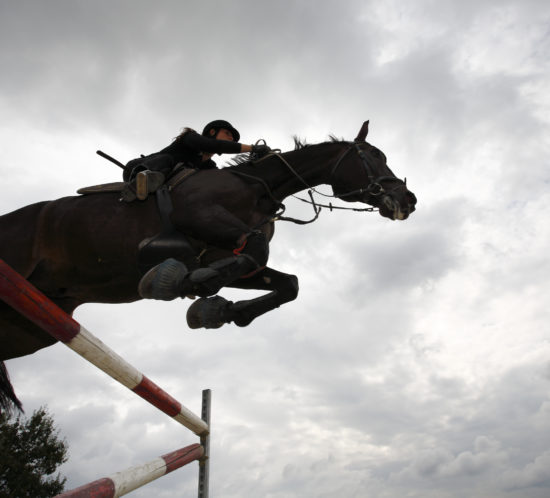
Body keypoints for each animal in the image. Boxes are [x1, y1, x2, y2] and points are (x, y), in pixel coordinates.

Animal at [0, 121, 418, 412]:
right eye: (373, 156)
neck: (258, 186)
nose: (408, 200)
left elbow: (286, 282)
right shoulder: (200, 217)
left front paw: (216, 309)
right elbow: (257, 251)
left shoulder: (225, 256)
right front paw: (181, 284)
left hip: (32, 327)